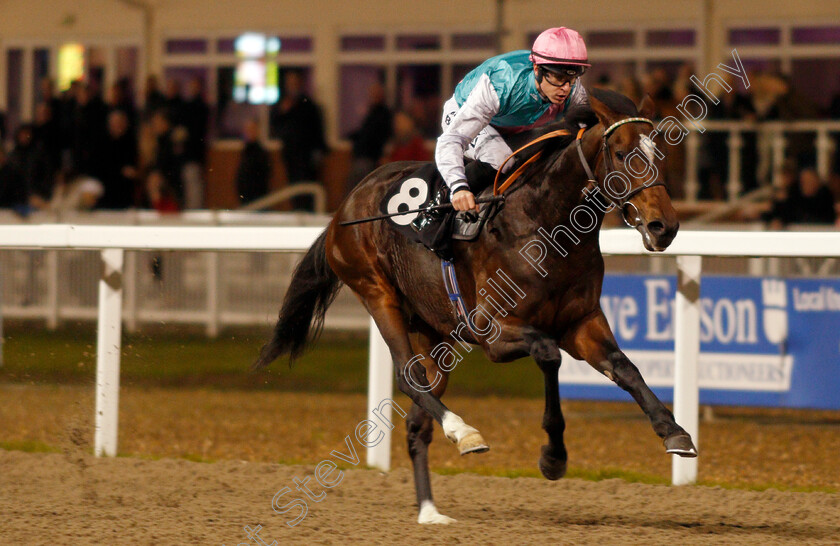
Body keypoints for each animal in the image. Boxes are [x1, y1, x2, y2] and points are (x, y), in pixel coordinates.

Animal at [253, 88, 700, 524]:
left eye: (659, 153)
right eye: (622, 153)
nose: (665, 226)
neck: (544, 223)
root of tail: (342, 210)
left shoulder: (582, 321)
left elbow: (625, 368)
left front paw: (674, 431)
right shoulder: (493, 332)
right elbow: (548, 353)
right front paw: (553, 456)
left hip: (434, 332)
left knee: (417, 421)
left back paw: (430, 511)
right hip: (377, 293)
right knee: (408, 377)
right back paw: (463, 432)